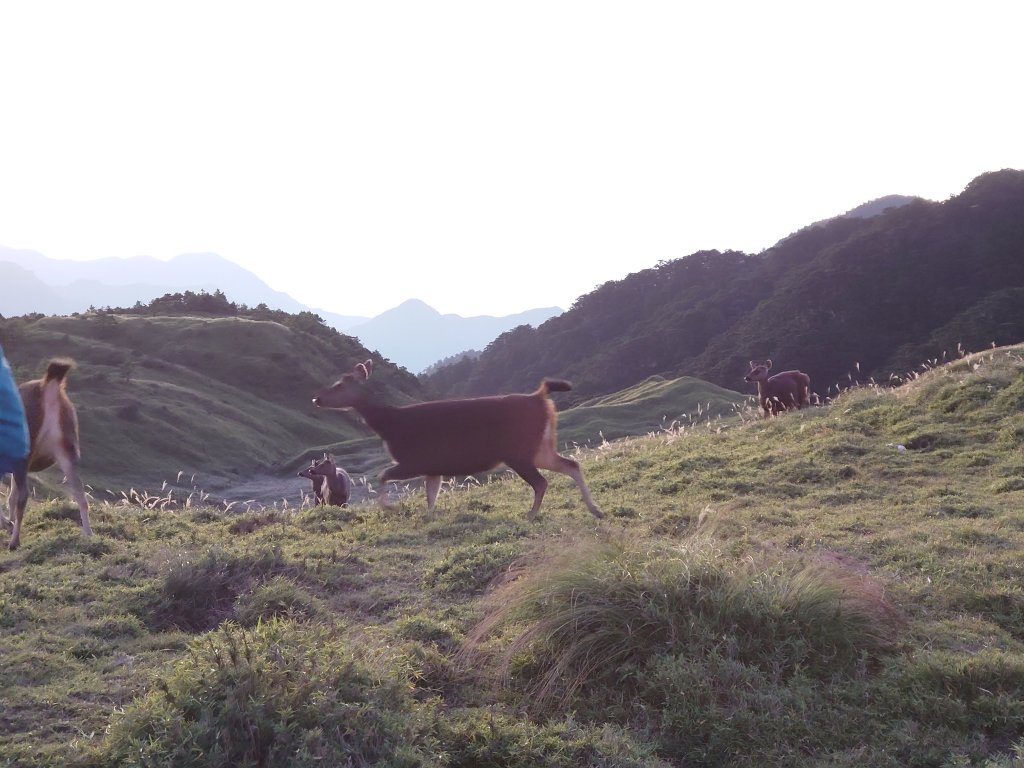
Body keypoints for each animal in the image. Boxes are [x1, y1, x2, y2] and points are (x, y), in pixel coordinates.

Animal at [1, 358, 91, 548]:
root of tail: (49, 386)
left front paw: (7, 524)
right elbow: (10, 496)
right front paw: (8, 523)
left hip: (25, 452)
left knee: (23, 497)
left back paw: (14, 542)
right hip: (66, 447)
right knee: (80, 493)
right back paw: (89, 534)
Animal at [311, 360, 598, 524]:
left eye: (339, 384)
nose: (317, 398)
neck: (388, 425)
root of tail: (540, 398)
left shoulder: (415, 460)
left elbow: (382, 476)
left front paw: (391, 508)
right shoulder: (432, 467)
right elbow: (431, 497)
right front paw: (428, 517)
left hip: (518, 451)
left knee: (542, 481)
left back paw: (531, 515)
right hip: (538, 447)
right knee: (571, 465)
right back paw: (596, 510)